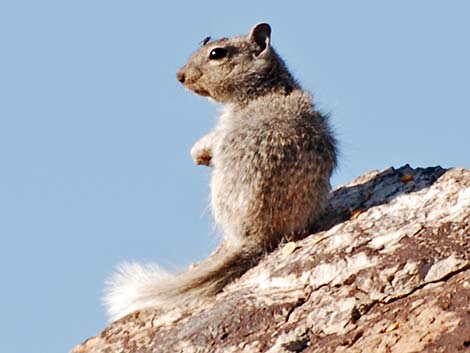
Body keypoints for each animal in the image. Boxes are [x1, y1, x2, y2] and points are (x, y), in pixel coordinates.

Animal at [104, 21, 336, 320]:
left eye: (217, 53)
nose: (180, 76)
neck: (267, 87)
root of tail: (257, 236)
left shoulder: (223, 129)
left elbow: (211, 141)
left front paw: (198, 153)